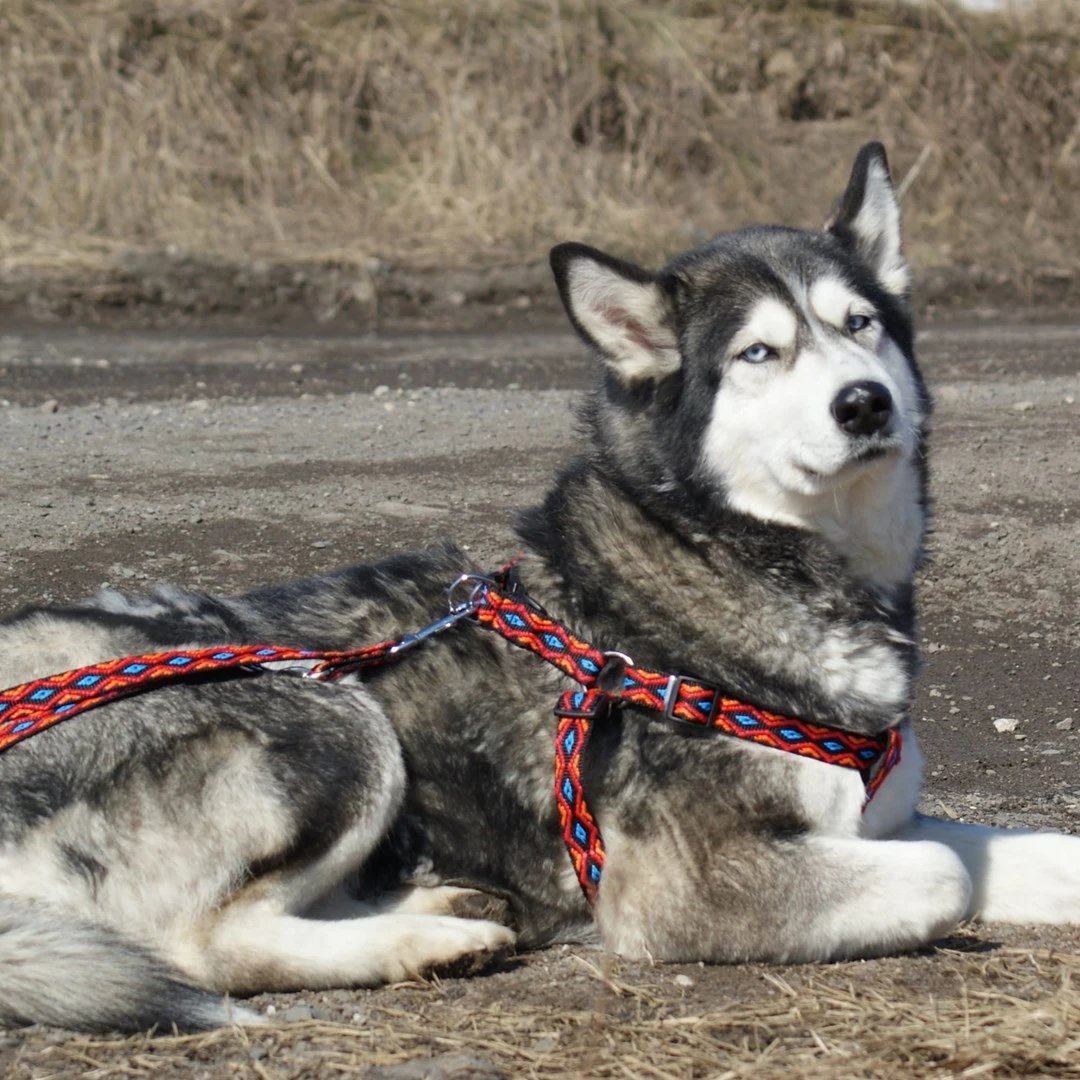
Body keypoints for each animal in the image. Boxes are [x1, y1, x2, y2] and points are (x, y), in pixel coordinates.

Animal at [2, 143, 1080, 1028]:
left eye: (861, 325)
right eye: (759, 354)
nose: (865, 403)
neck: (728, 554)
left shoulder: (878, 821)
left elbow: (1013, 852)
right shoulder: (679, 882)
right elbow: (943, 876)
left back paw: (442, 903)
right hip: (337, 720)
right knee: (206, 943)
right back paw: (429, 941)